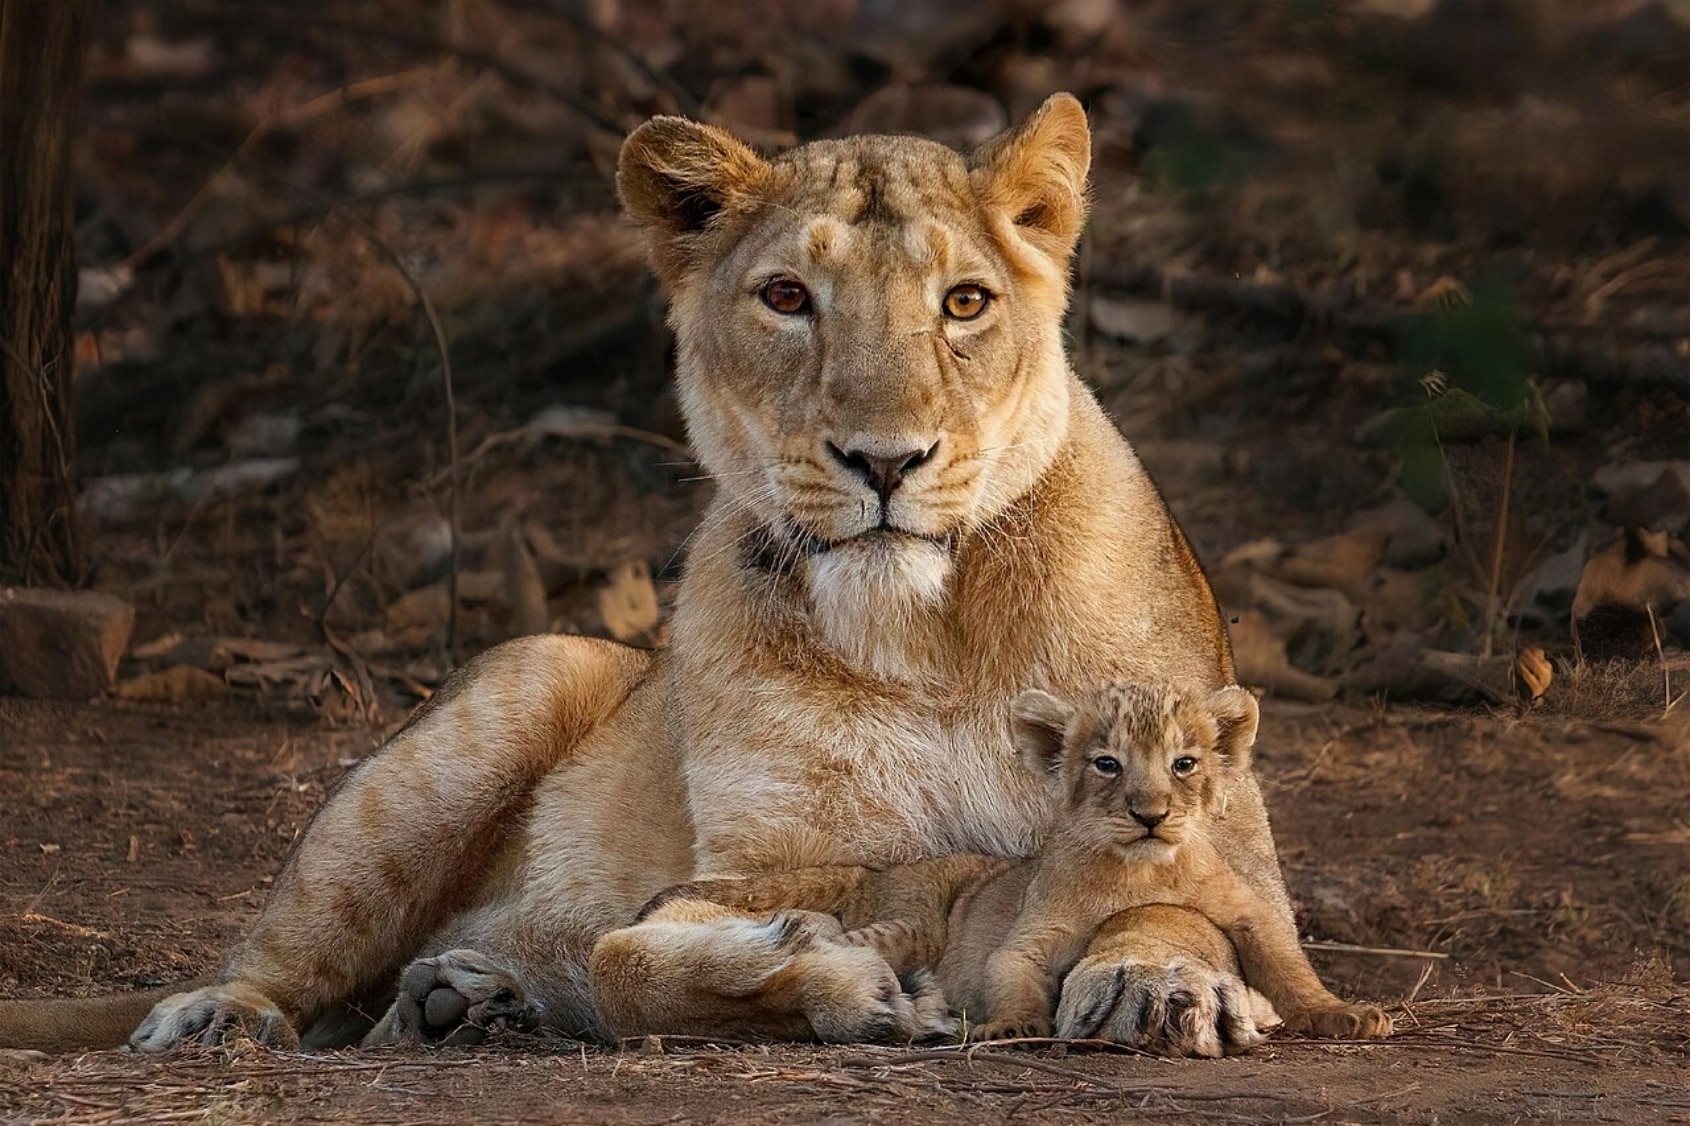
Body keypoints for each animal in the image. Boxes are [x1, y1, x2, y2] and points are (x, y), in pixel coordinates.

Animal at [1, 94, 1295, 1057]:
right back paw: (247, 1014)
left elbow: (1175, 891)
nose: (885, 461)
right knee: (293, 957)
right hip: (510, 690)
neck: (925, 634)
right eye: (787, 298)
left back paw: (466, 999)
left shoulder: (1217, 822)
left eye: (965, 303)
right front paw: (831, 976)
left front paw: (1157, 981)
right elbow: (631, 964)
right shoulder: (758, 868)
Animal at [625, 681, 1389, 1051]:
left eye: (1184, 762)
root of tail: (884, 869)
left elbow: (1290, 967)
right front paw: (1013, 1025)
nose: (1149, 813)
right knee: (843, 941)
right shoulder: (1033, 930)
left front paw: (1344, 1015)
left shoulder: (1246, 913)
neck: (1144, 871)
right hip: (908, 922)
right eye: (1106, 764)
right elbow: (1011, 968)